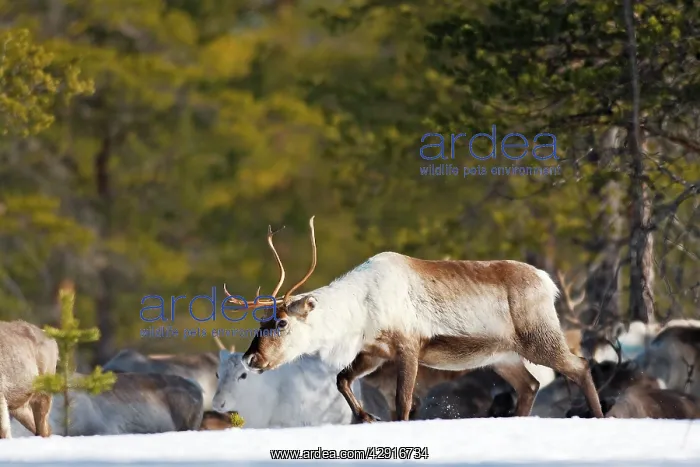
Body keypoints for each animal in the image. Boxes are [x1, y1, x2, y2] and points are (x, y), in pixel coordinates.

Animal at [225, 216, 604, 422]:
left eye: (282, 323)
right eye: (261, 322)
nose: (251, 357)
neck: (359, 310)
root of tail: (548, 281)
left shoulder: (408, 346)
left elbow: (403, 402)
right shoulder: (374, 351)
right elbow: (342, 380)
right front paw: (367, 417)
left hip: (539, 338)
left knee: (580, 365)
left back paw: (599, 416)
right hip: (502, 355)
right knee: (531, 385)